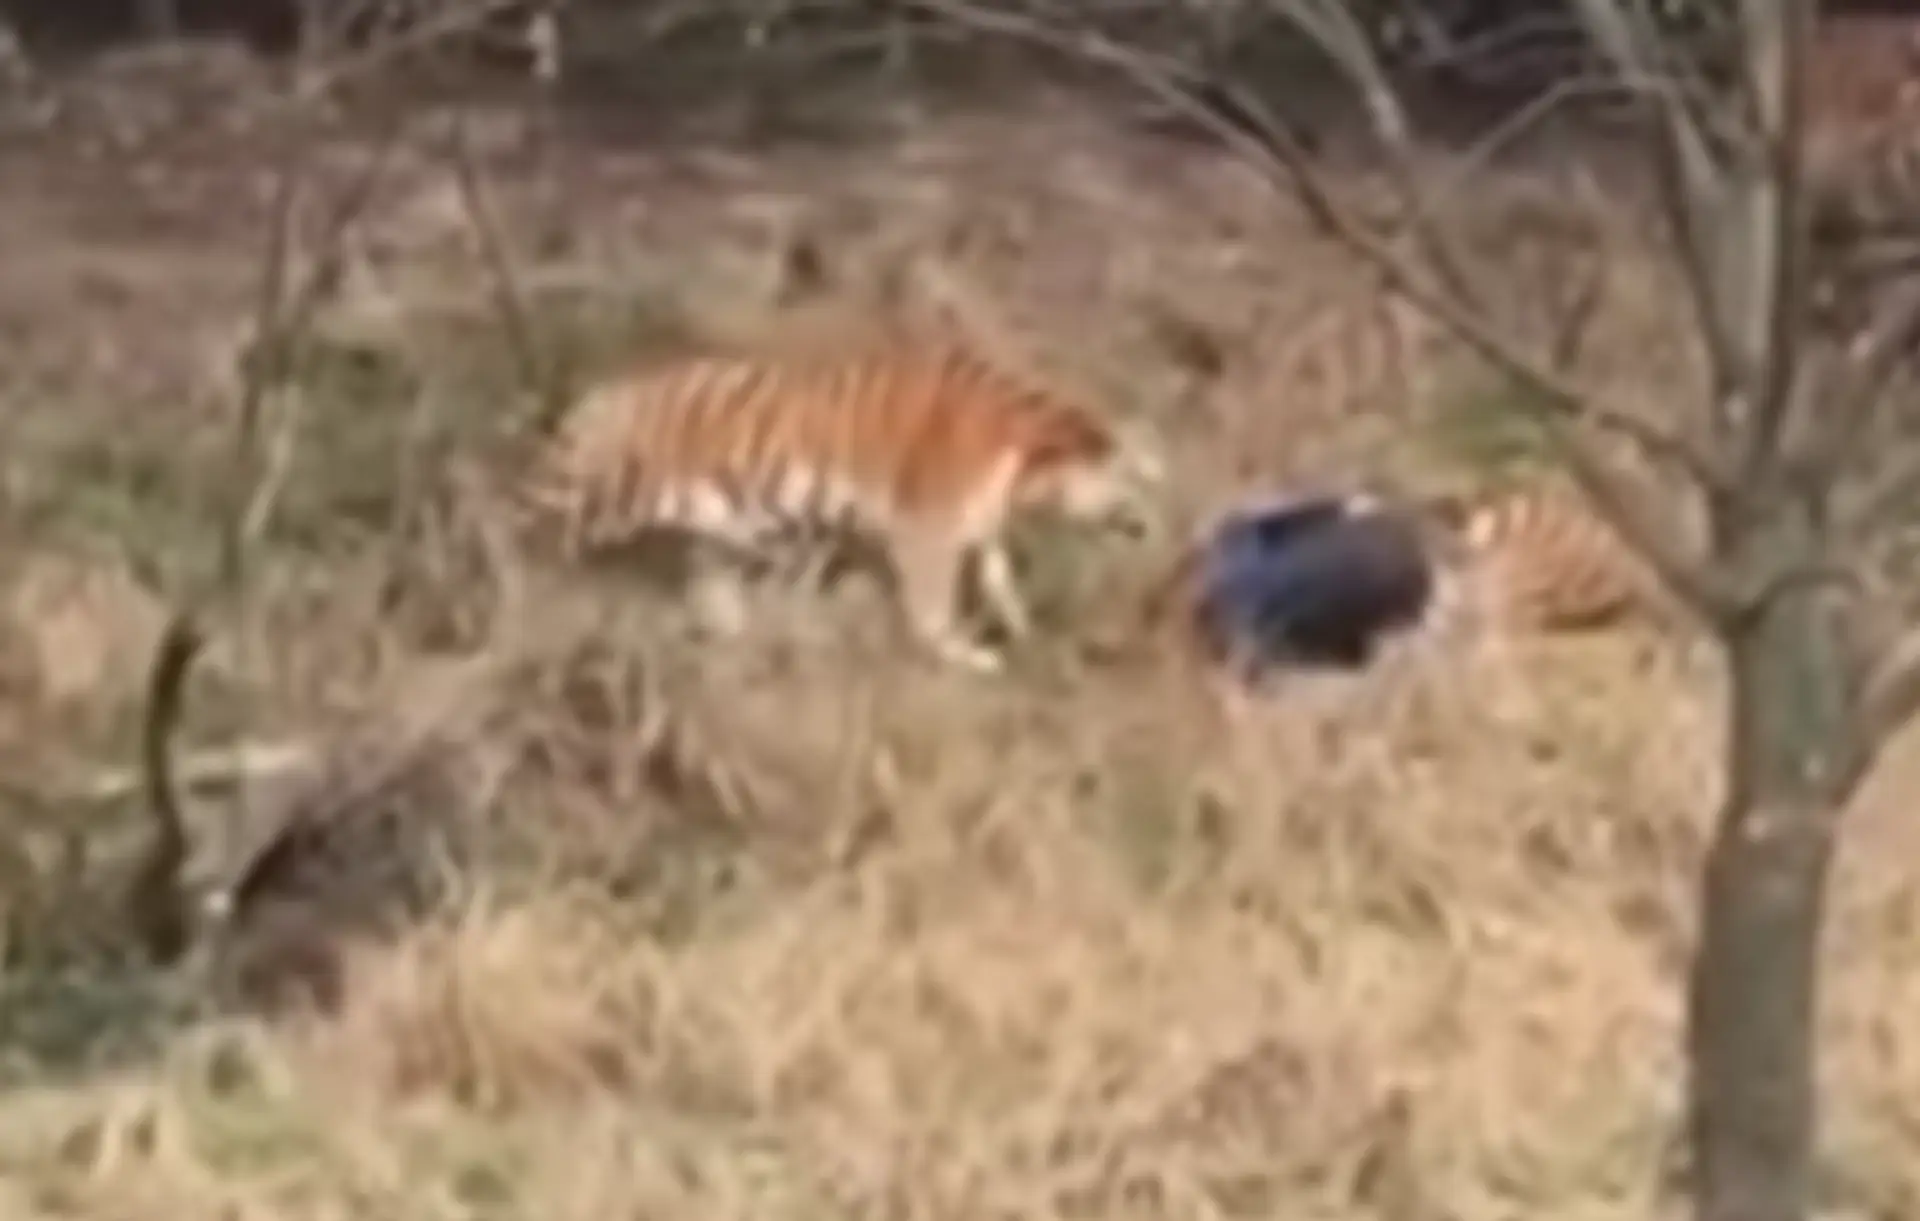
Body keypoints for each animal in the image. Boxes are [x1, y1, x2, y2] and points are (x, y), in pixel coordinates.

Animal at [520, 337, 1165, 673]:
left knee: (710, 591)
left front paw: (1024, 634)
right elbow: (933, 607)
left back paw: (733, 645)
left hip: (718, 530)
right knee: (539, 539)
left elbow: (1000, 580)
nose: (1149, 525)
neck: (1029, 456)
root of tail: (600, 394)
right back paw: (536, 611)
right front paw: (961, 653)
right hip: (595, 497)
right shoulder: (926, 530)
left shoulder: (979, 526)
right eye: (1133, 482)